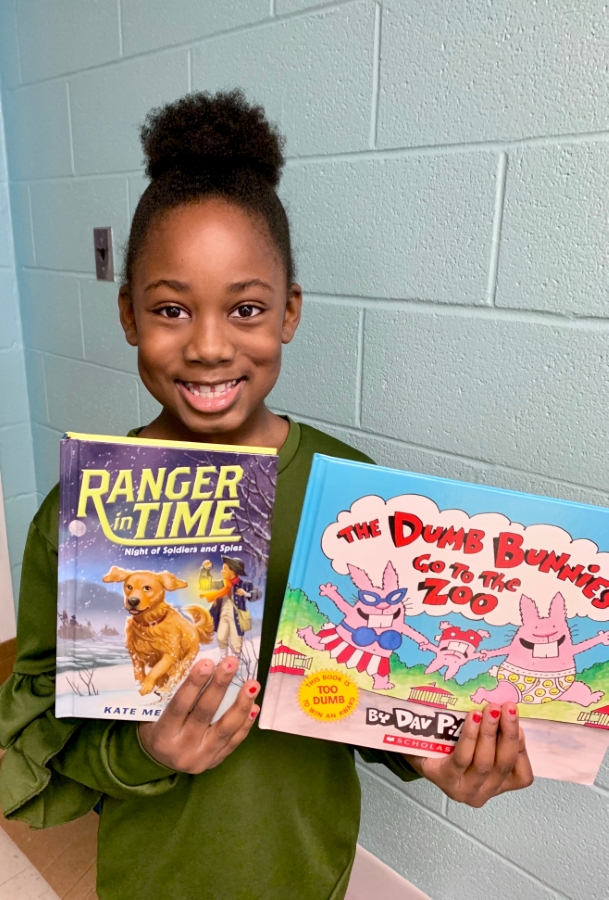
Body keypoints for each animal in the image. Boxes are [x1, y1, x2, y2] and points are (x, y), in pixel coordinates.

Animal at [101, 568, 213, 700]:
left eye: (147, 588)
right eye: (129, 587)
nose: (132, 601)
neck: (149, 624)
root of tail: (194, 628)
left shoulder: (170, 654)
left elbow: (155, 670)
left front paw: (145, 686)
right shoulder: (135, 653)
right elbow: (138, 671)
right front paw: (141, 684)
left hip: (187, 658)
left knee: (176, 674)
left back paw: (164, 690)